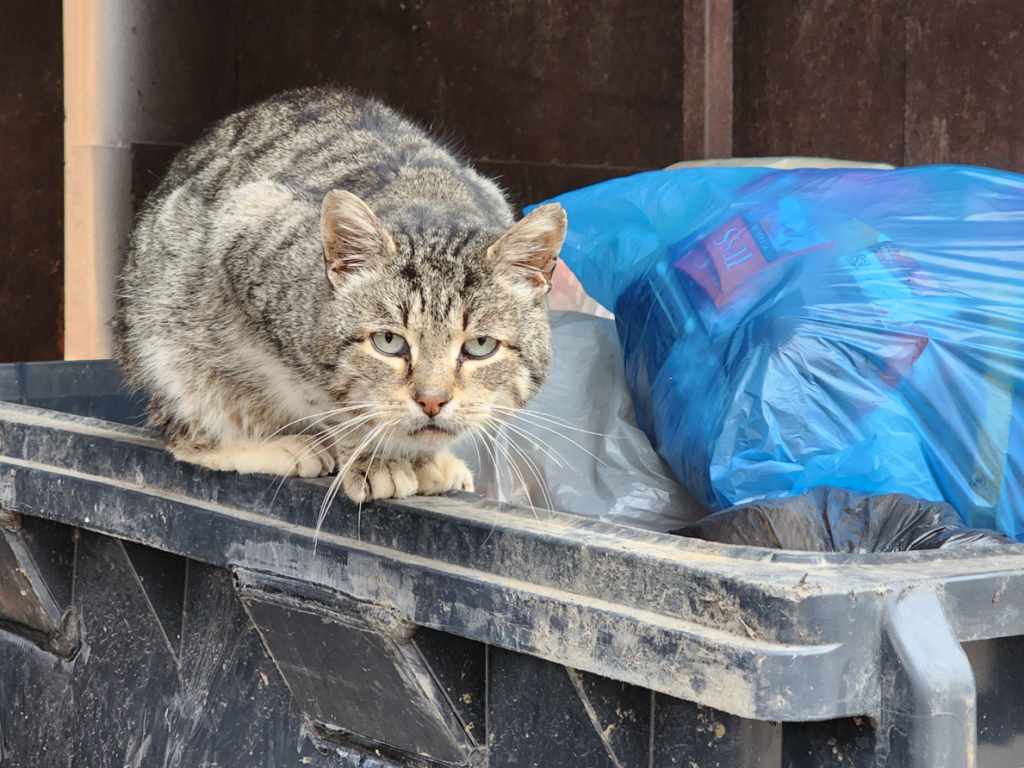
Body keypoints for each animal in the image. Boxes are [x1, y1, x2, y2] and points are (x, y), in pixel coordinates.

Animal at [118, 87, 569, 505]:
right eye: (388, 342)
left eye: (480, 346)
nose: (432, 402)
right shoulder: (246, 227)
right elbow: (333, 402)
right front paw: (377, 457)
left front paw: (420, 458)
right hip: (167, 343)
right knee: (186, 434)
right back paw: (281, 445)